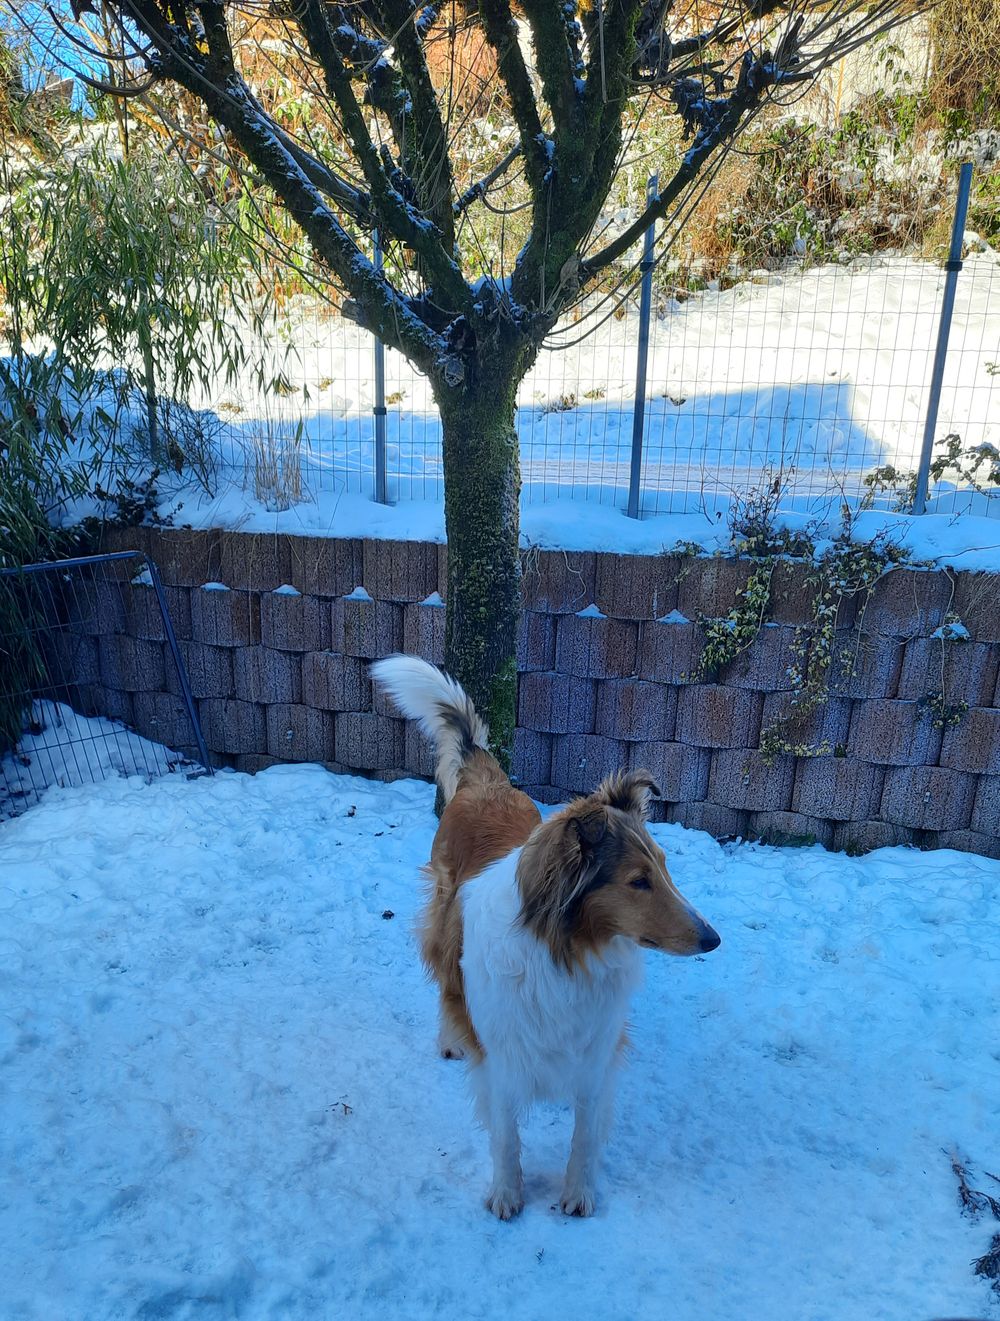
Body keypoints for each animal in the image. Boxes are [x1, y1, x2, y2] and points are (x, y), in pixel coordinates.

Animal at [371, 654, 720, 1220]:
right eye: (637, 881)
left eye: (665, 867)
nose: (713, 940)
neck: (568, 954)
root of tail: (485, 780)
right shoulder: (501, 1057)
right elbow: (505, 1136)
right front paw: (507, 1194)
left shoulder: (595, 1054)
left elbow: (584, 1134)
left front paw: (578, 1194)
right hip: (444, 924)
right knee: (445, 984)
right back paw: (450, 1037)